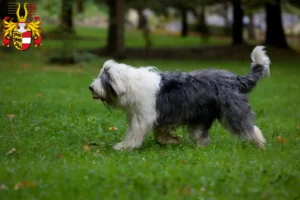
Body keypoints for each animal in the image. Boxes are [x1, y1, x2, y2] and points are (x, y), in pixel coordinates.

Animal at [88, 46, 270, 150]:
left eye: (104, 79)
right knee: (200, 134)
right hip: (202, 116)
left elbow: (135, 132)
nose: (91, 87)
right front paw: (172, 140)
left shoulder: (143, 117)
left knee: (250, 128)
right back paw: (201, 146)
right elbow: (160, 132)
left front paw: (124, 146)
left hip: (233, 111)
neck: (131, 84)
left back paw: (260, 145)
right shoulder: (161, 116)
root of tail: (236, 79)